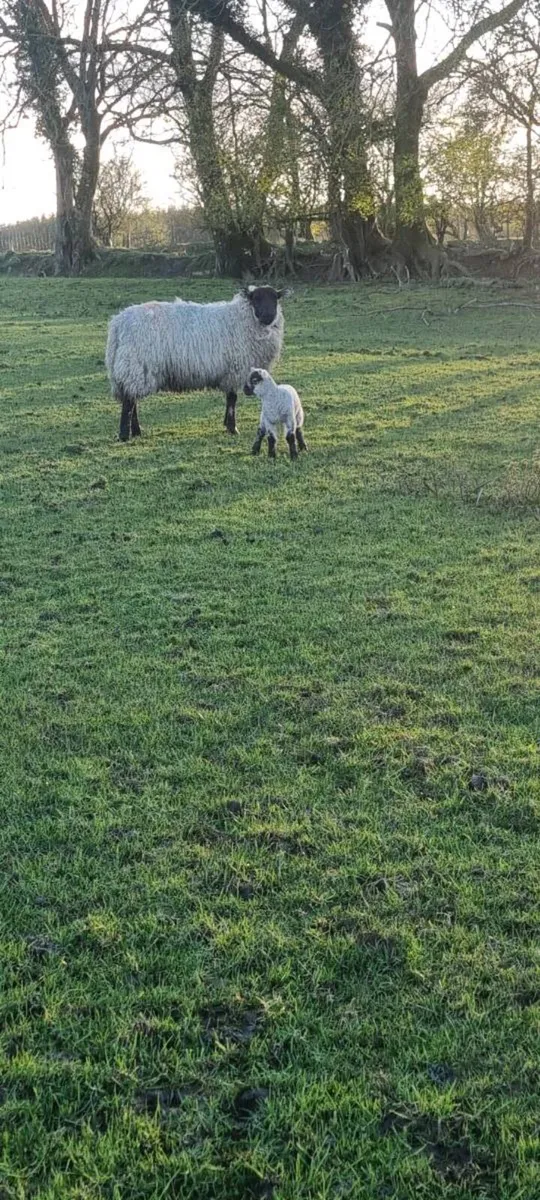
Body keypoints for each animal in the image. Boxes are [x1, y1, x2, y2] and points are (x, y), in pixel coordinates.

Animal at [105, 286, 288, 442]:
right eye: (255, 298)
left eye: (275, 299)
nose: (268, 316)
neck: (243, 320)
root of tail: (118, 323)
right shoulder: (233, 370)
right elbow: (232, 399)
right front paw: (232, 428)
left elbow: (229, 399)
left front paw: (226, 424)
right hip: (134, 366)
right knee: (129, 403)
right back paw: (124, 435)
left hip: (134, 371)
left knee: (132, 400)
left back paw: (137, 431)